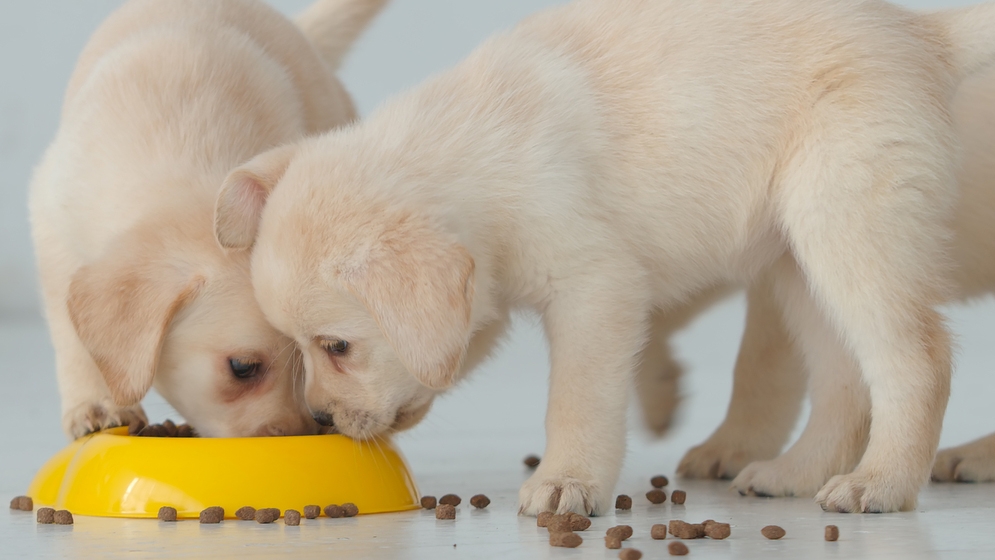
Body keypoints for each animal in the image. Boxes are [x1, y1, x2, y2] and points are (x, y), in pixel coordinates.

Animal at [29, 0, 388, 440]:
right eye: (243, 368)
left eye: (310, 359)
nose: (304, 432)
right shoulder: (51, 221)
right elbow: (72, 339)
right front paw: (97, 404)